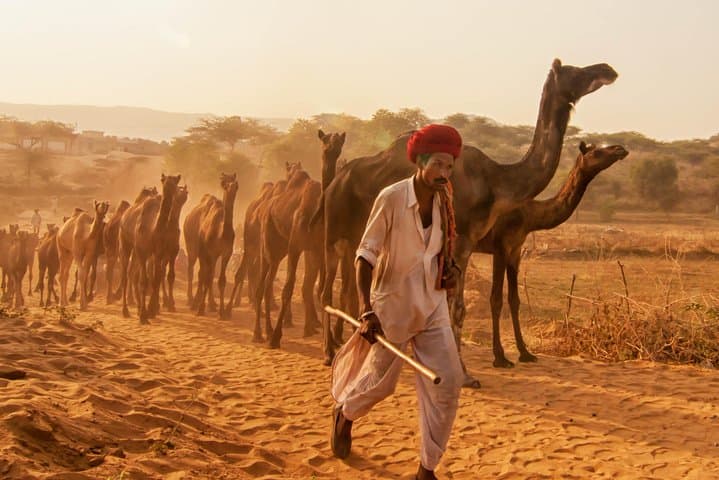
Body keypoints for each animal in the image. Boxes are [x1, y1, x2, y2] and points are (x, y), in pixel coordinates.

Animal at [193, 173, 238, 319]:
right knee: (203, 273)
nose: (232, 186)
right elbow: (208, 277)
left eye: (236, 183)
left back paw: (211, 305)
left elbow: (222, 280)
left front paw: (222, 312)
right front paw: (201, 309)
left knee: (209, 274)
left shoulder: (227, 253)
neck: (221, 233)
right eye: (224, 183)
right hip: (202, 251)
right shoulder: (211, 252)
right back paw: (197, 303)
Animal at [476, 142, 629, 368]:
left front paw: (525, 353)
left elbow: (514, 300)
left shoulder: (515, 250)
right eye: (596, 151)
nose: (620, 149)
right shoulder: (500, 247)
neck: (529, 214)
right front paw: (500, 358)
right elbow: (496, 299)